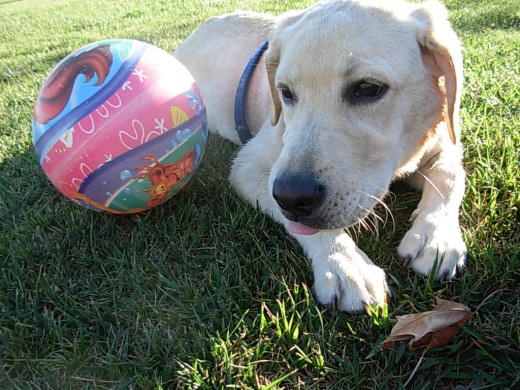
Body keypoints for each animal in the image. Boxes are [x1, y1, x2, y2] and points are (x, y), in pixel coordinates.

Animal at [175, 0, 468, 312]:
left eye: (368, 88)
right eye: (285, 92)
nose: (292, 196)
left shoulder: (442, 144)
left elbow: (451, 176)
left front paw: (435, 236)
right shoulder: (248, 166)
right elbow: (304, 223)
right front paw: (344, 264)